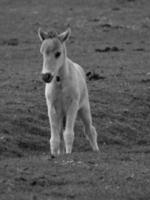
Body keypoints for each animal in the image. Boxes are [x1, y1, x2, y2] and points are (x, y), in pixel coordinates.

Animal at [38, 27, 99, 156]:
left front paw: (68, 153)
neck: (60, 82)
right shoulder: (51, 107)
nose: (46, 76)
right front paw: (54, 155)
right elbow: (55, 137)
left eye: (58, 53)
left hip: (84, 109)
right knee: (61, 133)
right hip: (61, 114)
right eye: (42, 53)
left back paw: (96, 150)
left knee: (90, 129)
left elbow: (69, 134)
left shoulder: (73, 105)